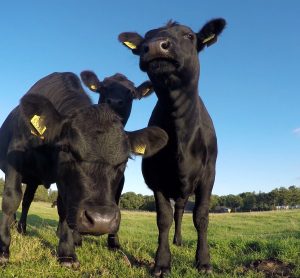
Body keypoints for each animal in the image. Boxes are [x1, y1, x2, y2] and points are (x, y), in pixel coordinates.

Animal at [0, 72, 169, 268]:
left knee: (27, 200)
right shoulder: (14, 160)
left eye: (124, 160)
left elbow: (63, 208)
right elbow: (11, 199)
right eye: (66, 149)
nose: (101, 220)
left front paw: (67, 253)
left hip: (34, 180)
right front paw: (3, 248)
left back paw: (22, 228)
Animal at [118, 17, 226, 276]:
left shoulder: (208, 176)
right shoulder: (155, 178)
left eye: (189, 35)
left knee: (182, 211)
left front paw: (203, 261)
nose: (156, 46)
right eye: (145, 39)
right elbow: (164, 219)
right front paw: (162, 263)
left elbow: (201, 217)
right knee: (176, 212)